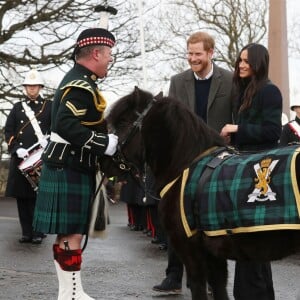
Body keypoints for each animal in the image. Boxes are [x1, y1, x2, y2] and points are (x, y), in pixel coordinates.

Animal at [102, 87, 300, 300]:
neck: (185, 165)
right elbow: (219, 288)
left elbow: (199, 287)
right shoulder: (214, 253)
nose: (104, 162)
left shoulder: (190, 249)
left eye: (122, 122)